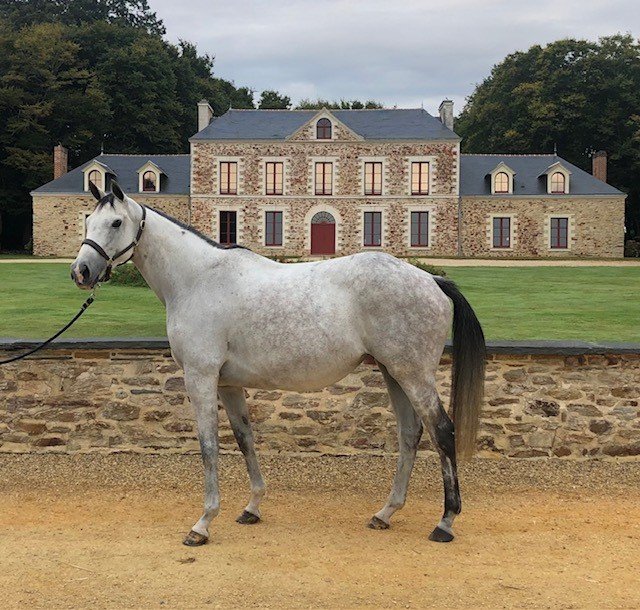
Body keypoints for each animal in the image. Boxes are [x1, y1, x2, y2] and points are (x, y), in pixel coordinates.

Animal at [71, 181, 485, 547]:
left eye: (116, 222)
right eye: (87, 221)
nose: (81, 272)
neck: (198, 279)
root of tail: (431, 278)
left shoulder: (200, 377)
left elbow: (208, 446)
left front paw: (203, 523)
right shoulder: (228, 383)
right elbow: (244, 439)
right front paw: (252, 506)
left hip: (414, 375)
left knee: (442, 432)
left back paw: (445, 522)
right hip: (393, 373)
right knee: (410, 434)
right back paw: (385, 513)